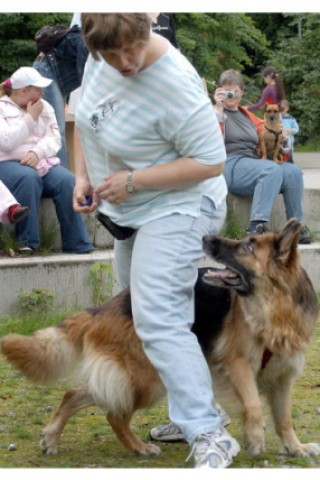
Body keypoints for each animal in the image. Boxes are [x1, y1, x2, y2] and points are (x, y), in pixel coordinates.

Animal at [0, 219, 320, 460]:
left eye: (247, 246)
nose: (206, 237)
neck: (275, 310)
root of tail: (103, 308)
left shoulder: (283, 377)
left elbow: (284, 418)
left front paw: (295, 447)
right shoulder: (238, 364)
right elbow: (253, 404)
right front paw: (254, 439)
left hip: (134, 377)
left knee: (75, 395)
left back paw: (51, 437)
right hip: (148, 379)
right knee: (113, 414)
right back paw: (139, 447)